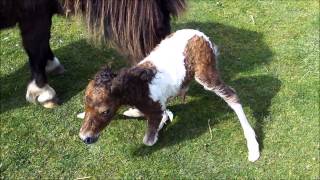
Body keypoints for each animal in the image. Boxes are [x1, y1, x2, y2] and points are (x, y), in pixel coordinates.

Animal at [0, 0, 186, 107]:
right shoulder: (33, 15)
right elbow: (36, 47)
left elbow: (42, 45)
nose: (178, 88)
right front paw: (43, 92)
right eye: (160, 27)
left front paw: (52, 65)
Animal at [78, 29, 260, 162]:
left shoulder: (155, 107)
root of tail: (202, 36)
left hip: (205, 73)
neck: (139, 87)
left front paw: (161, 124)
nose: (84, 137)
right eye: (86, 104)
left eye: (105, 111)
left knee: (232, 95)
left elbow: (149, 140)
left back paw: (253, 147)